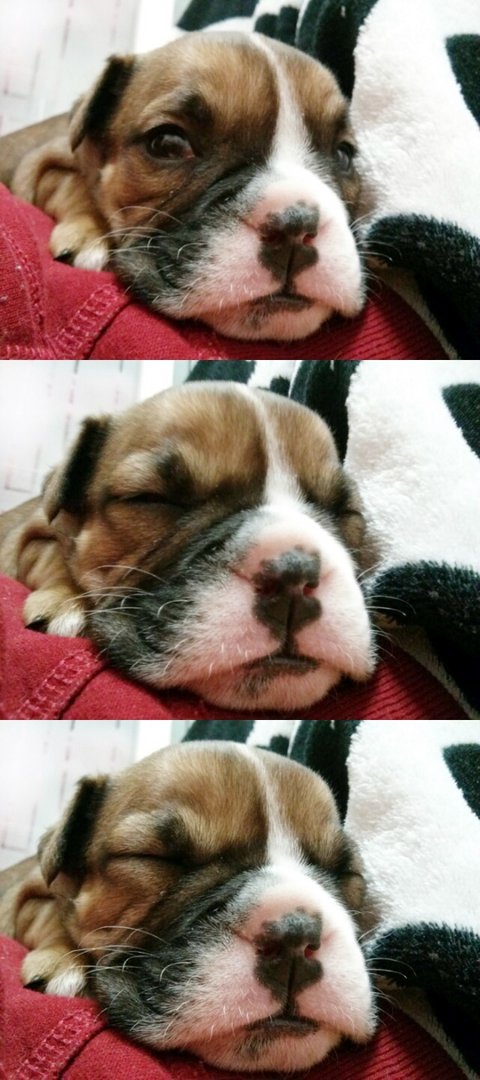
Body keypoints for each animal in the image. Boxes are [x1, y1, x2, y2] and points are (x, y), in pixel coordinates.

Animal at [0, 31, 364, 341]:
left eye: (343, 155)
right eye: (168, 144)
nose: (295, 226)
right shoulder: (41, 164)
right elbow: (73, 185)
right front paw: (88, 233)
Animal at [0, 381, 375, 711]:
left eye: (345, 511)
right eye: (151, 498)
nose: (293, 573)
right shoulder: (27, 535)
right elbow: (51, 555)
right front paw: (65, 602)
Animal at [0, 741, 376, 1071]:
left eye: (346, 871)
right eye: (155, 857)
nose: (295, 935)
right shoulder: (25, 893)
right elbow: (50, 915)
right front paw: (62, 961)